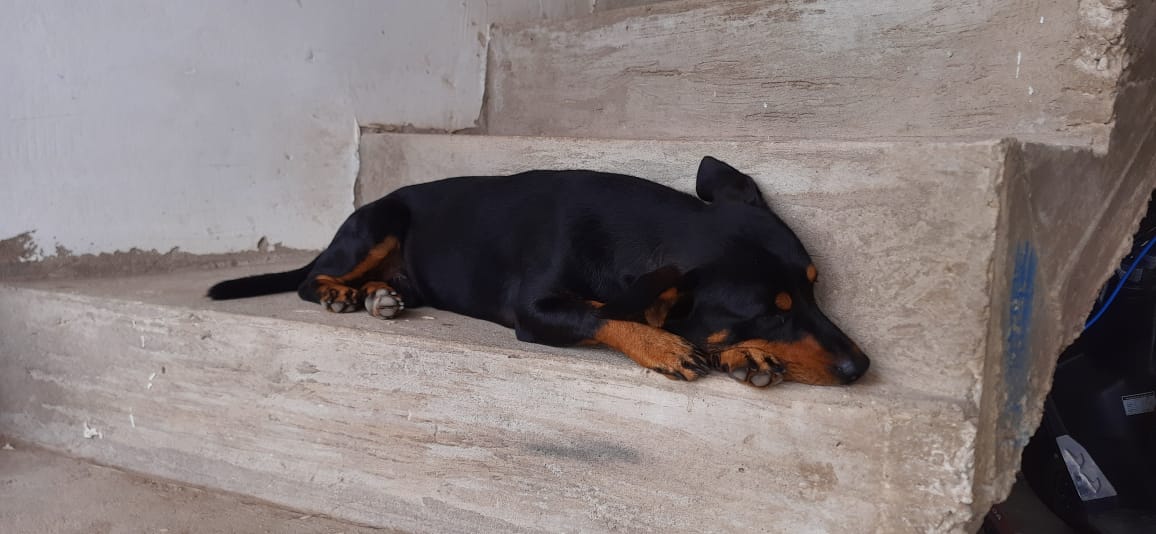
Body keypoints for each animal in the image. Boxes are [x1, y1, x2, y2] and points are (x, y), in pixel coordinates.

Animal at [208, 156, 869, 387]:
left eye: (814, 289)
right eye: (767, 312)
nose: (861, 367)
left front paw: (743, 354)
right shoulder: (535, 310)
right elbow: (602, 314)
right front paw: (665, 345)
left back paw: (378, 294)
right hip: (379, 223)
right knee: (307, 280)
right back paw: (343, 294)